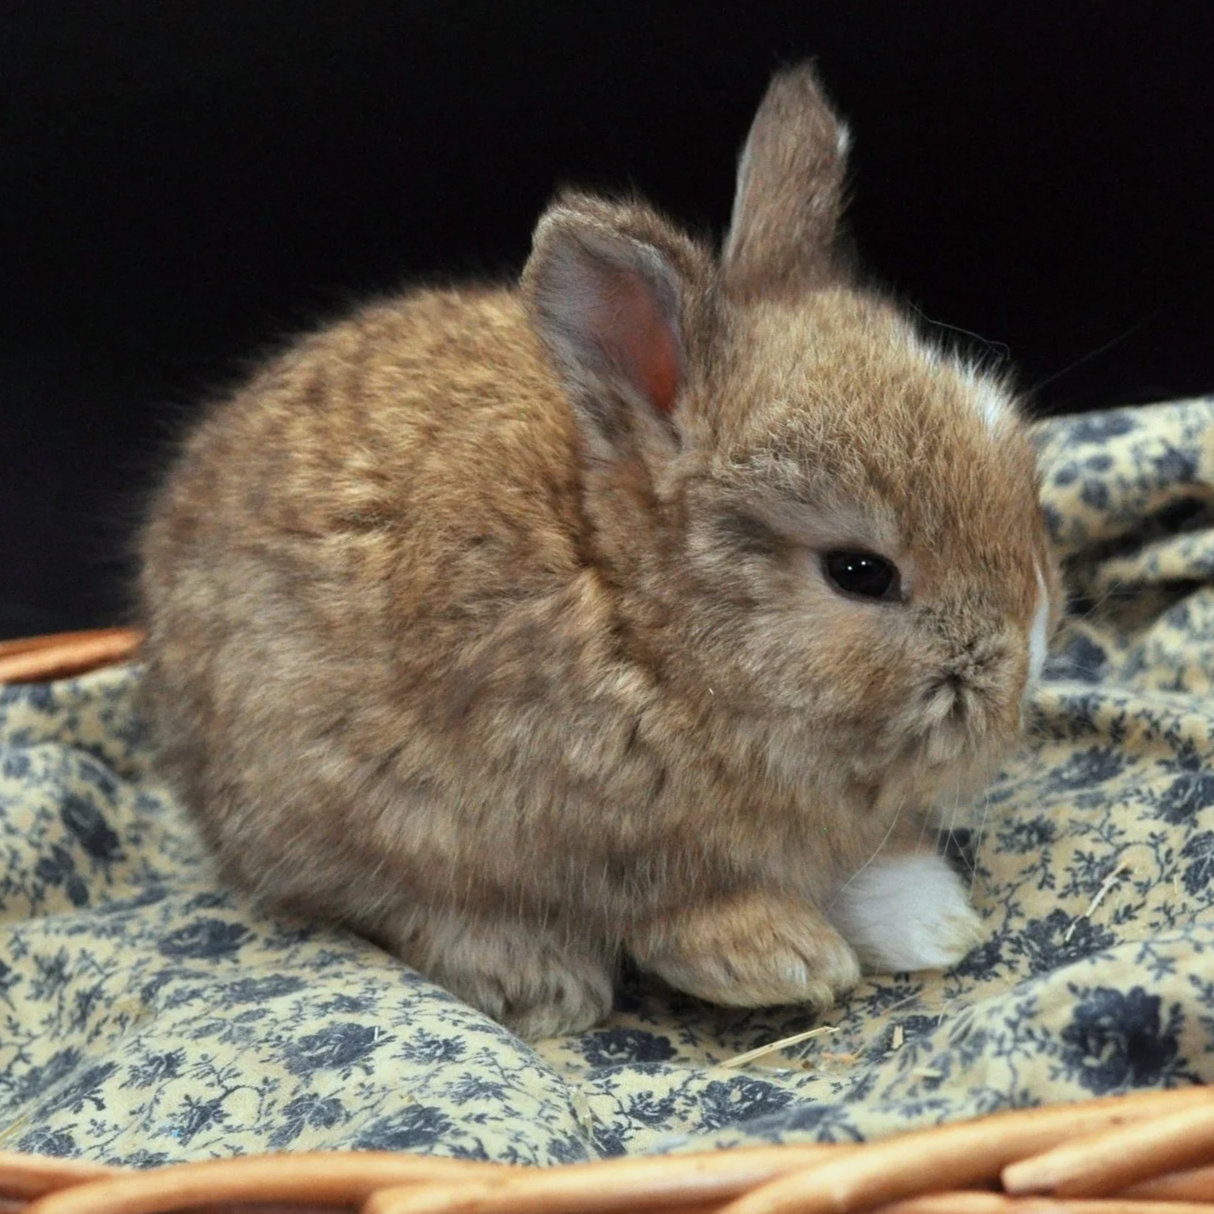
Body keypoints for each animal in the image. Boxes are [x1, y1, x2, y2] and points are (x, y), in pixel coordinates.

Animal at [138, 63, 1061, 1040]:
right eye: (860, 572)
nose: (1023, 674)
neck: (642, 626)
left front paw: (935, 922)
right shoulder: (569, 834)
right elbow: (667, 908)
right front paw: (780, 958)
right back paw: (541, 982)